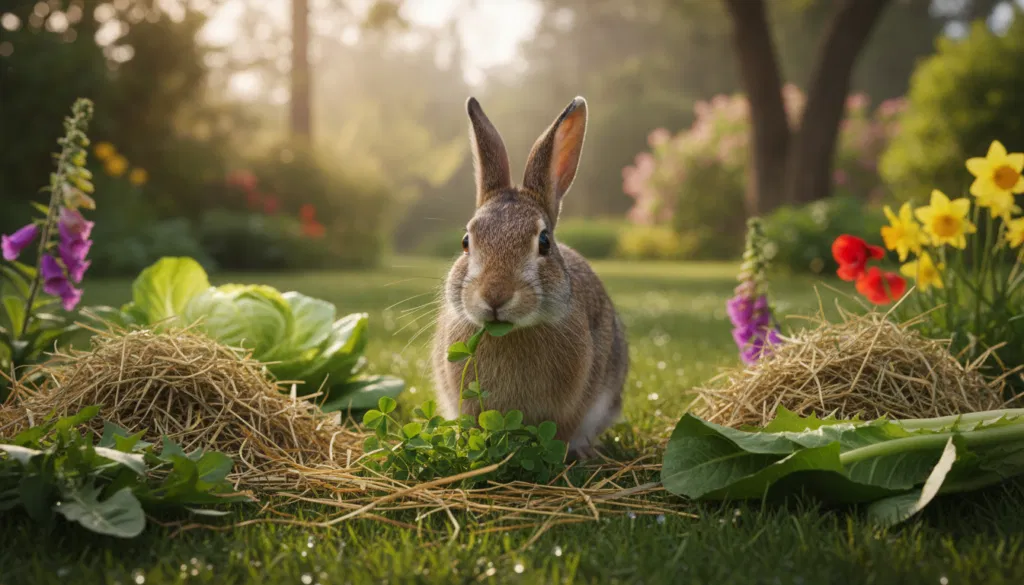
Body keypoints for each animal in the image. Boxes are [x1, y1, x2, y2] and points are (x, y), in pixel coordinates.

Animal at [431, 96, 629, 459]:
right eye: (466, 242)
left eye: (544, 242)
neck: (511, 332)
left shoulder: (569, 409)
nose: (495, 295)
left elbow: (560, 432)